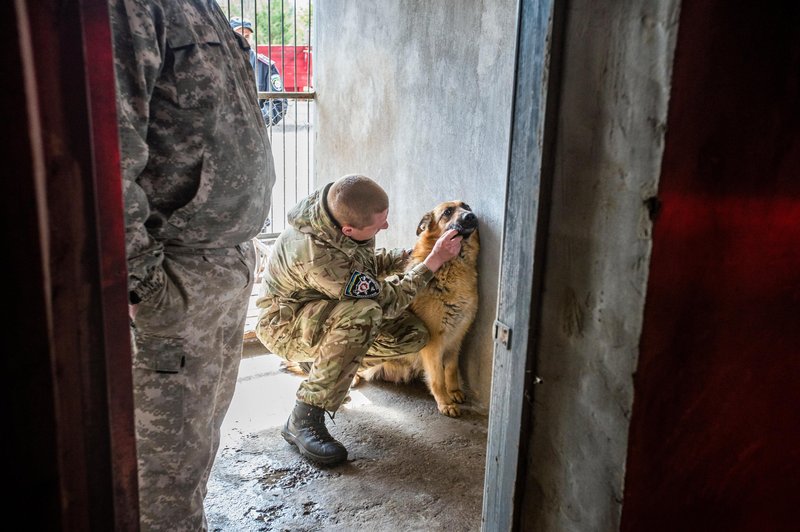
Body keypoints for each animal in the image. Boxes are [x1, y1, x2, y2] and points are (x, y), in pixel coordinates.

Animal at [360, 200, 478, 416]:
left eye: (466, 207)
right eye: (447, 212)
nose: (471, 216)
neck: (452, 266)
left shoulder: (456, 338)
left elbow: (451, 369)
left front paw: (454, 391)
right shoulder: (434, 344)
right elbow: (438, 377)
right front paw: (445, 402)